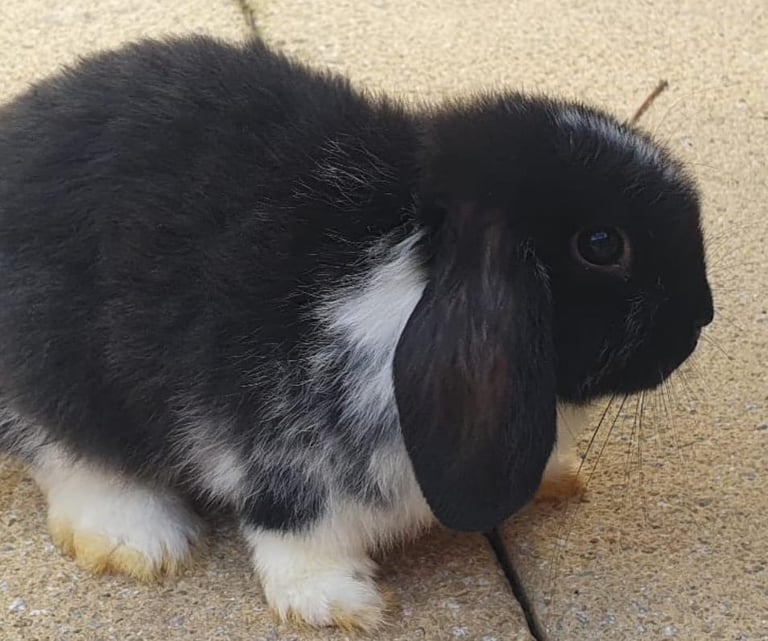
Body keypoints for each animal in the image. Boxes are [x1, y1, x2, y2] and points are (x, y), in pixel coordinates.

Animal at [0, 35, 713, 630]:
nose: (701, 316)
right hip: (56, 368)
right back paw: (139, 540)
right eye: (601, 244)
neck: (412, 261)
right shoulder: (288, 446)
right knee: (60, 448)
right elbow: (295, 528)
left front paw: (559, 475)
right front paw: (340, 604)